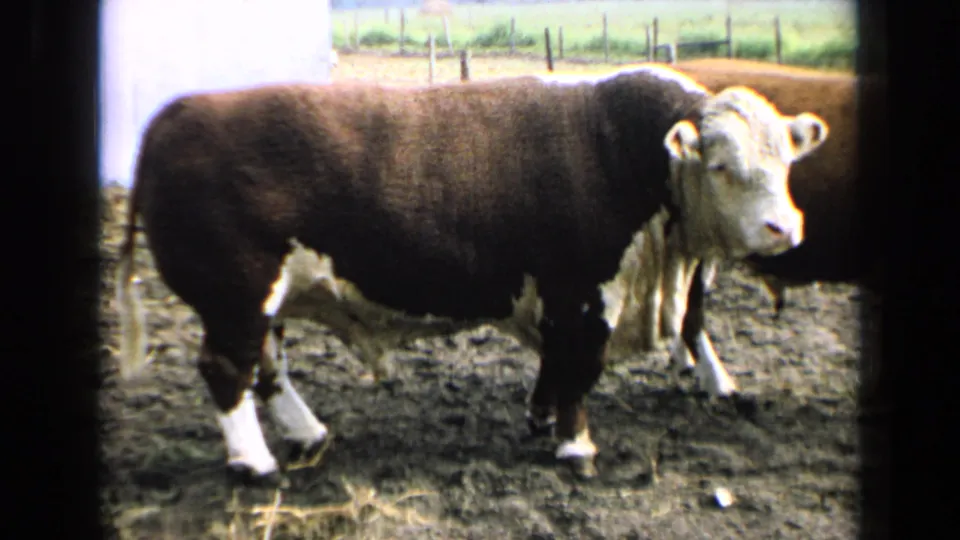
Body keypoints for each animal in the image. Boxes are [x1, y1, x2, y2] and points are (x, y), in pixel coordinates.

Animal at [112, 65, 828, 484]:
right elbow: (578, 370)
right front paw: (575, 446)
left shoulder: (557, 295)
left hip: (265, 300)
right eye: (723, 167)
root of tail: (178, 111)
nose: (786, 228)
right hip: (236, 294)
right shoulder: (584, 291)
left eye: (786, 160)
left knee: (267, 367)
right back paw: (255, 462)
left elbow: (554, 366)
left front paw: (541, 419)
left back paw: (307, 433)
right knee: (227, 370)